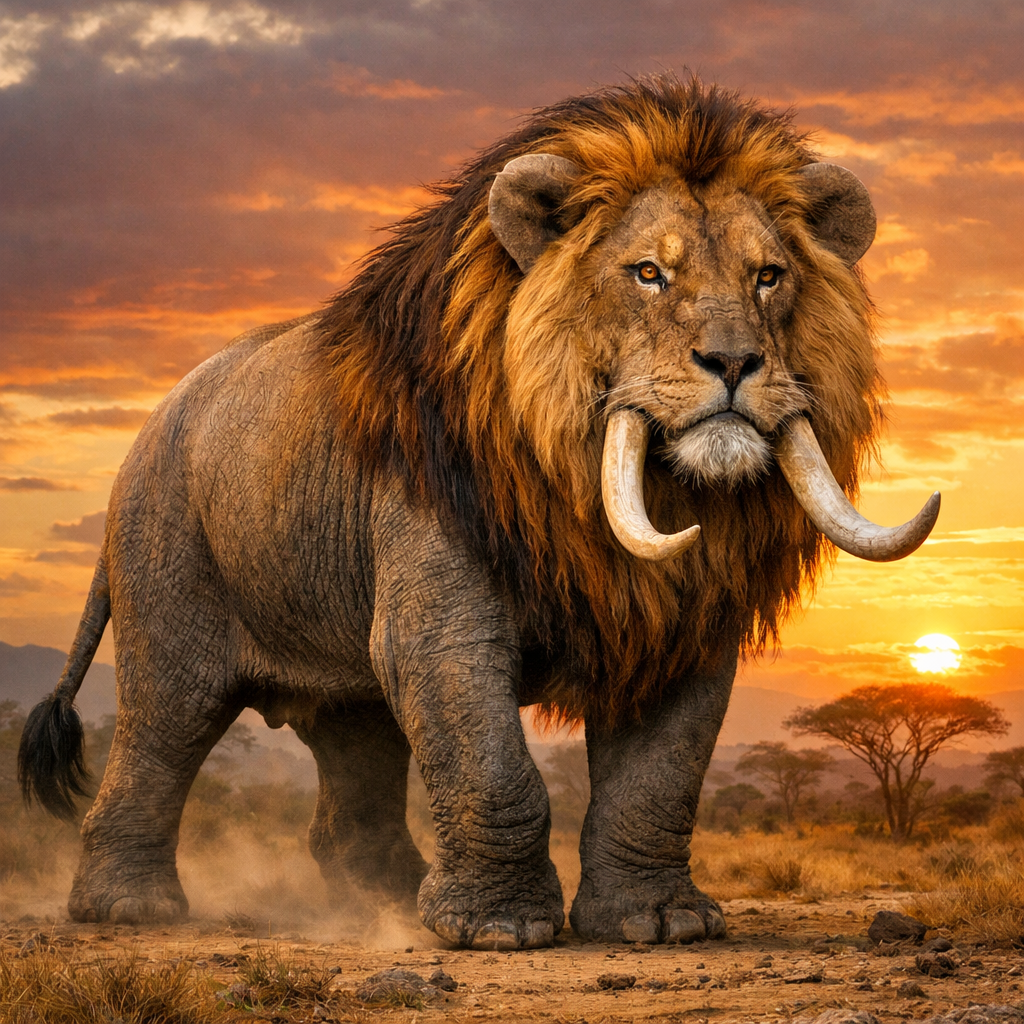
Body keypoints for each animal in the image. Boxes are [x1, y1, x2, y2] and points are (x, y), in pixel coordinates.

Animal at [19, 75, 938, 949]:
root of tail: (145, 434)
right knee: (154, 747)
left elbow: (659, 781)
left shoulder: (683, 630)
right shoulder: (438, 623)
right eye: (649, 272)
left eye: (768, 276)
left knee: (348, 794)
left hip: (347, 697)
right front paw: (496, 927)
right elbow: (493, 767)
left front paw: (659, 921)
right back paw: (130, 908)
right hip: (172, 624)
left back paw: (383, 908)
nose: (736, 361)